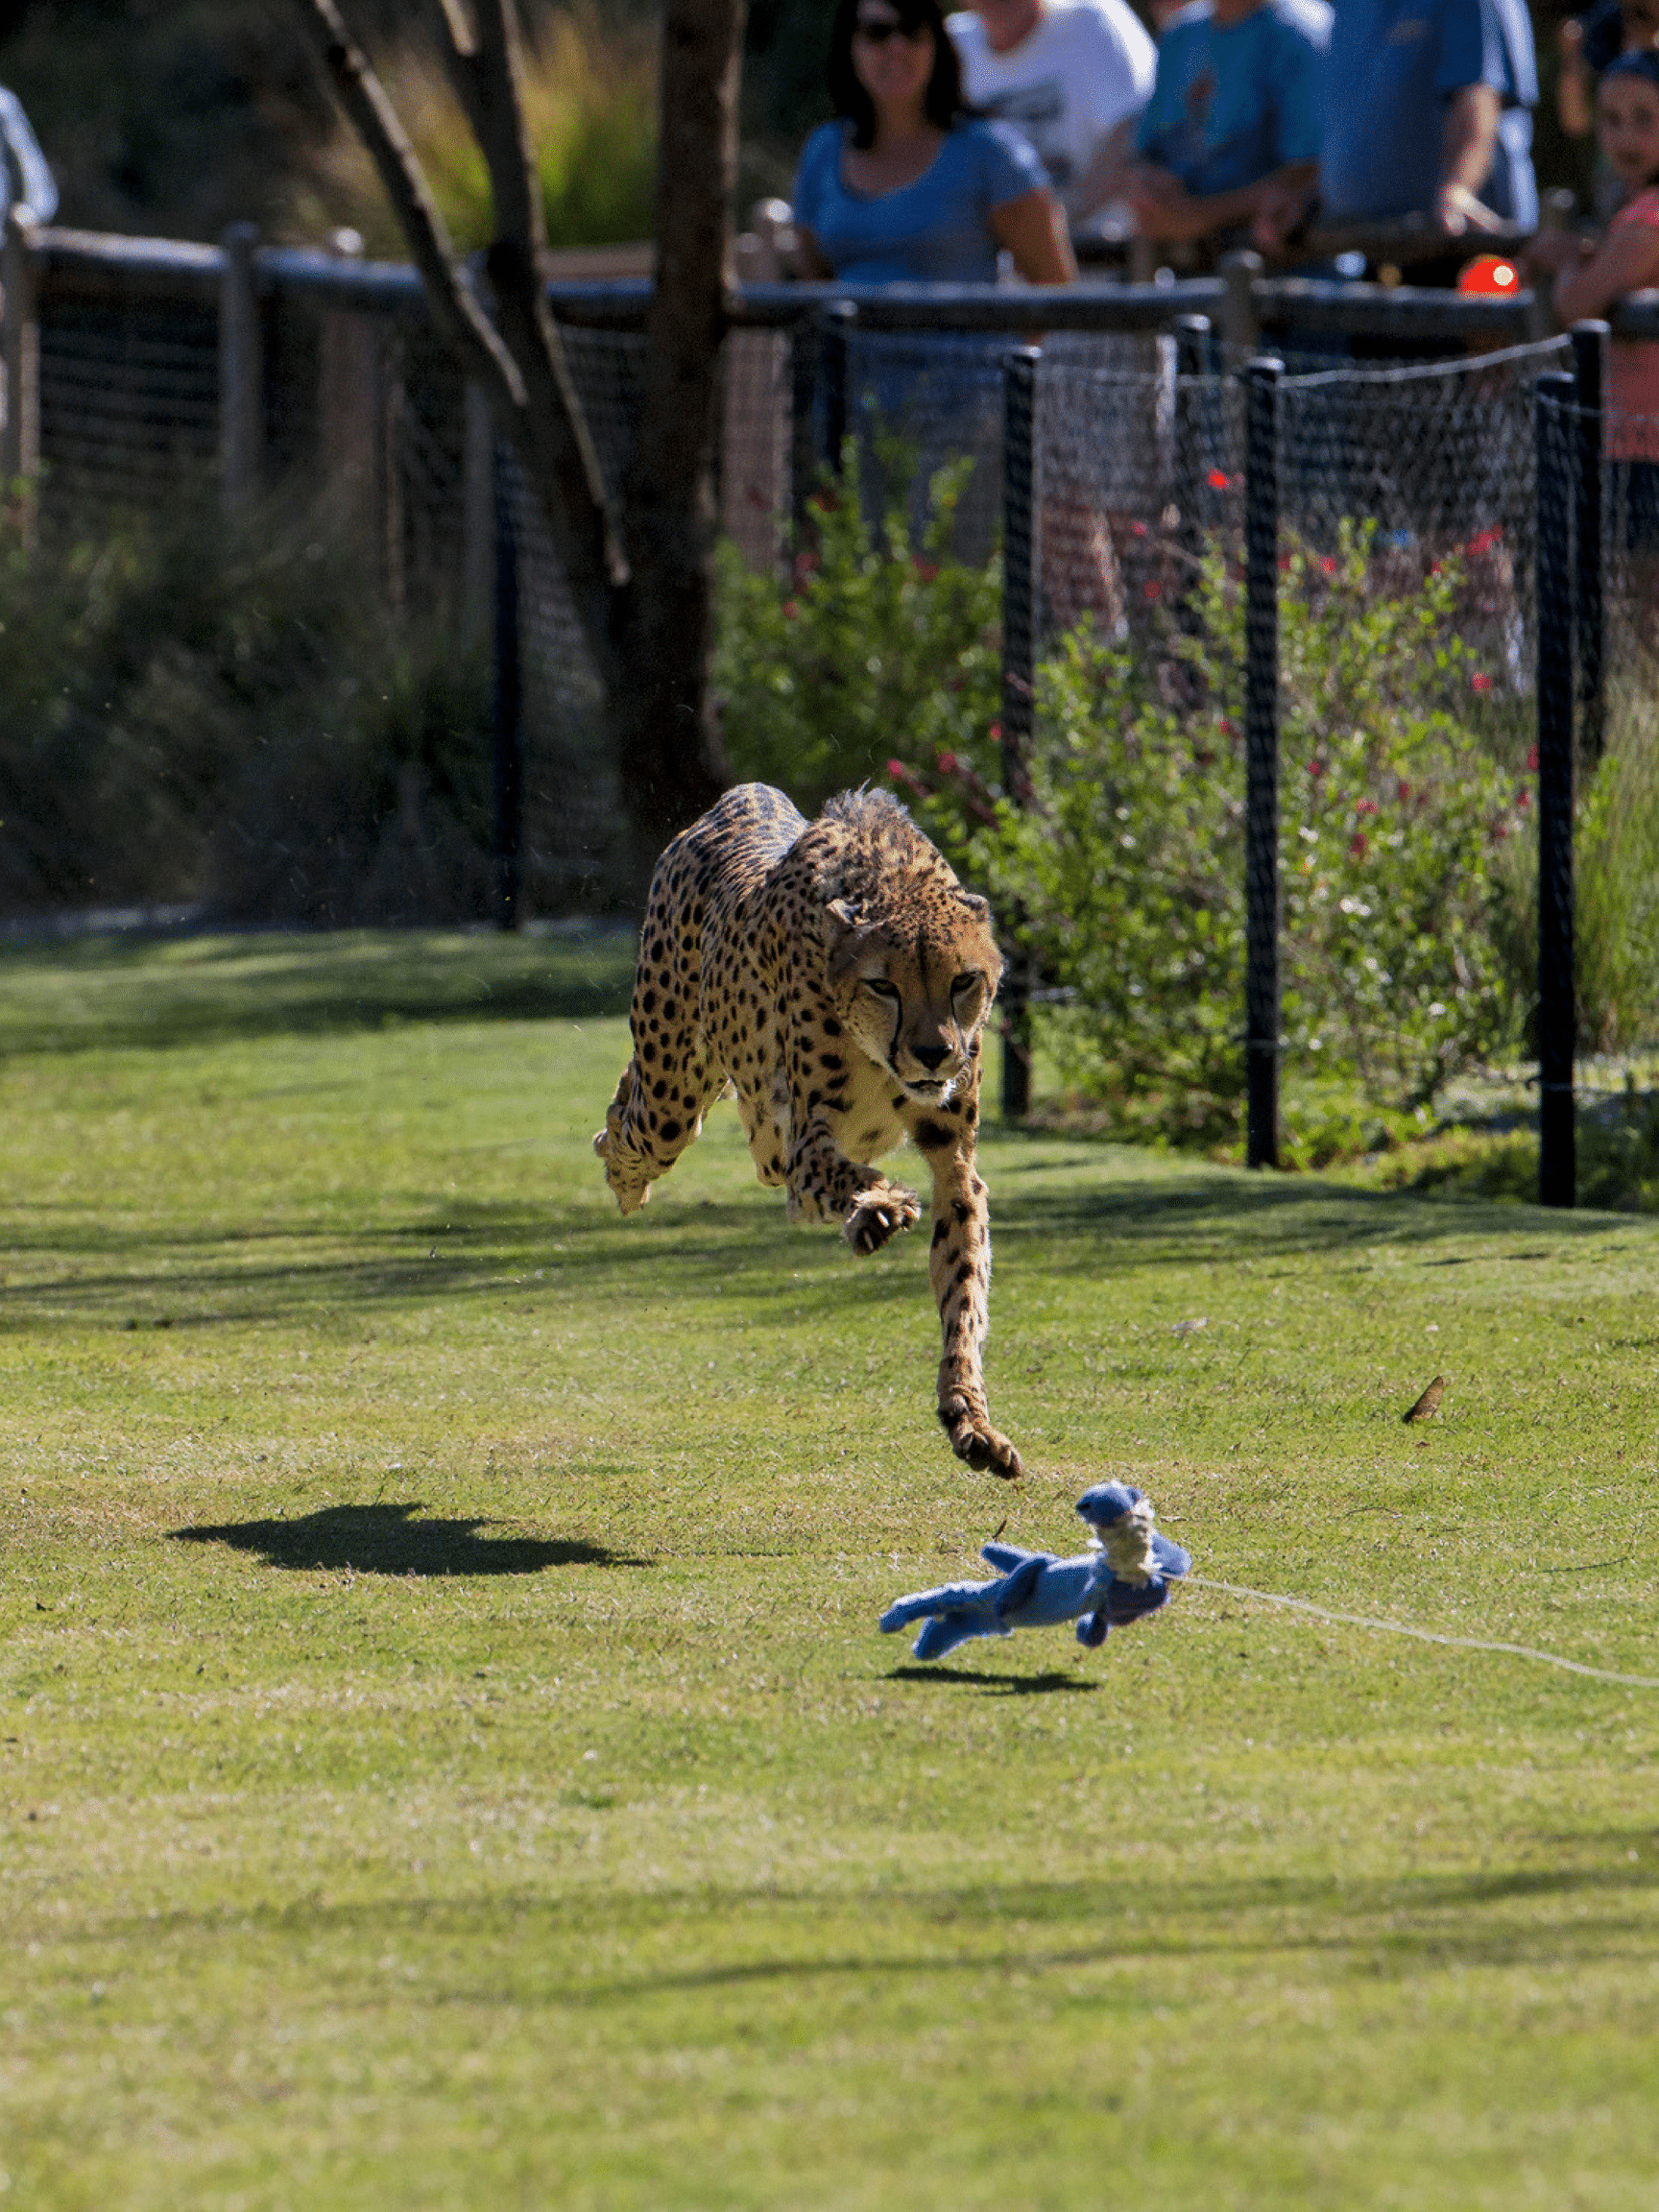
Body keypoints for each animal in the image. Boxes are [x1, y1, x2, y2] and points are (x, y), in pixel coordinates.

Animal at [592, 787, 1022, 1478]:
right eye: (883, 984)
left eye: (963, 981)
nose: (934, 1054)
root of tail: (744, 796)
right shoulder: (806, 1143)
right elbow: (841, 1173)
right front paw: (880, 1207)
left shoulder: (954, 1161)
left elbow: (963, 1294)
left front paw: (969, 1418)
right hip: (676, 1094)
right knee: (635, 1121)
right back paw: (624, 1175)